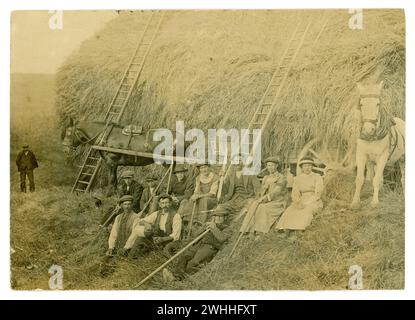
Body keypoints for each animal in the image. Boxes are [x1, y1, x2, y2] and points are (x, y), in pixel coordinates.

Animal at [352, 81, 406, 209]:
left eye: (377, 104)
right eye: (361, 104)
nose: (368, 130)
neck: (372, 138)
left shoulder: (382, 157)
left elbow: (376, 180)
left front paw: (375, 202)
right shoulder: (361, 155)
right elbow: (360, 179)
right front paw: (355, 202)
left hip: (403, 159)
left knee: (403, 179)